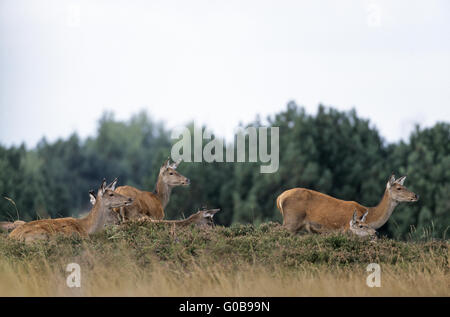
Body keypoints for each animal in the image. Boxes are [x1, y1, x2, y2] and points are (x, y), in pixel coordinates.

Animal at [276, 174, 420, 233]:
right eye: (399, 188)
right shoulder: (346, 228)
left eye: (404, 185)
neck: (370, 216)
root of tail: (279, 198)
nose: (415, 195)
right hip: (292, 220)